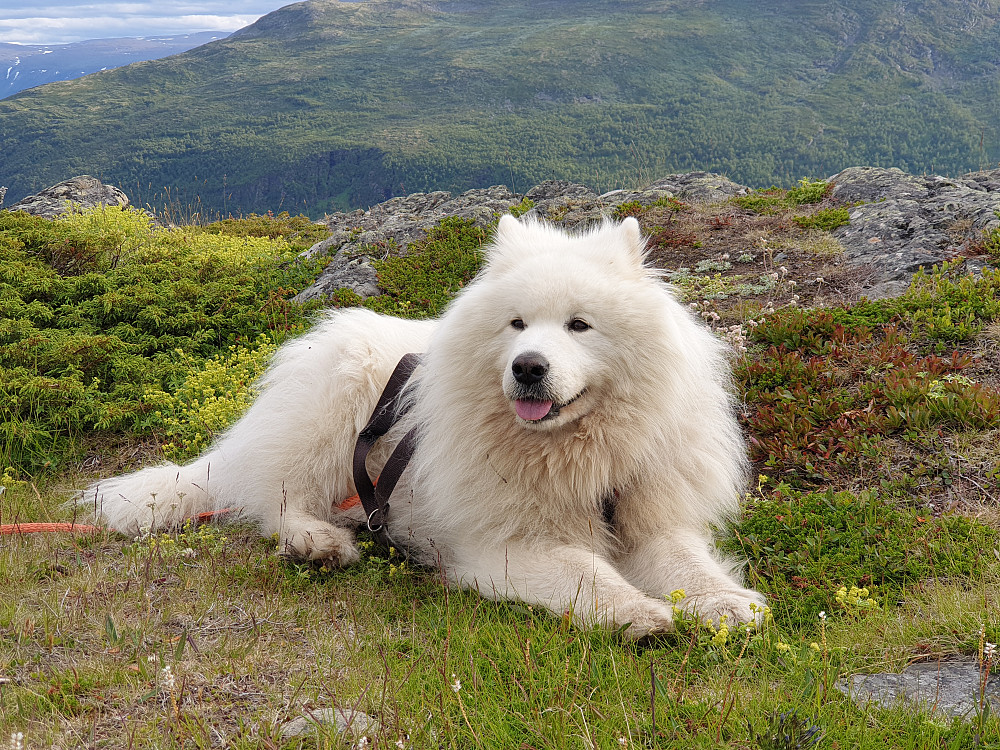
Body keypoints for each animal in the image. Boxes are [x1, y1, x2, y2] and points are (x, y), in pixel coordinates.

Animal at [86, 214, 764, 636]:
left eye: (579, 325)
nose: (528, 368)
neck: (578, 453)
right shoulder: (505, 545)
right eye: (517, 324)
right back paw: (316, 543)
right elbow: (586, 574)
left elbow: (685, 563)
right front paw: (637, 612)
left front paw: (727, 602)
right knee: (274, 498)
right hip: (333, 411)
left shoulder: (650, 516)